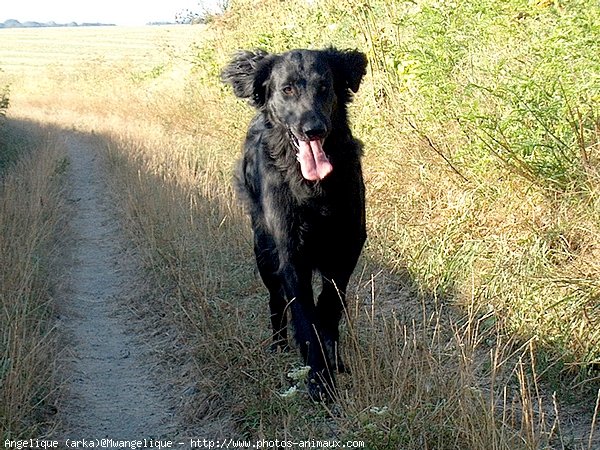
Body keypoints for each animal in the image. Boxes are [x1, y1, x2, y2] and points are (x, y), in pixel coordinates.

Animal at [223, 48, 368, 400]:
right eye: (287, 89)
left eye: (325, 87)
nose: (314, 129)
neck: (313, 188)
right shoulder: (290, 255)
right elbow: (305, 316)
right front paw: (319, 381)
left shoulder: (347, 248)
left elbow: (329, 306)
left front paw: (332, 360)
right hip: (263, 251)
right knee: (276, 300)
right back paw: (277, 344)